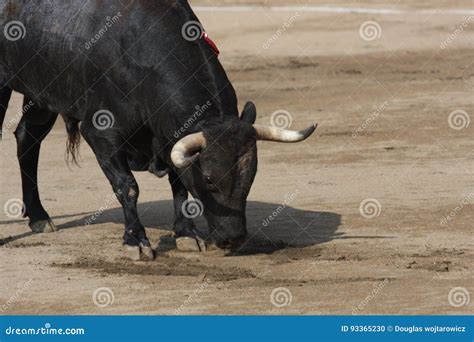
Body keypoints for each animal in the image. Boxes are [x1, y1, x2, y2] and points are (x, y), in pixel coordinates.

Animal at [0, 2, 318, 260]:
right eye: (209, 178)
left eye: (250, 176)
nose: (234, 238)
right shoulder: (101, 134)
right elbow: (128, 186)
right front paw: (136, 242)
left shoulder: (169, 138)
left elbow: (179, 185)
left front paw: (187, 234)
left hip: (41, 93)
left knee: (28, 139)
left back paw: (39, 217)